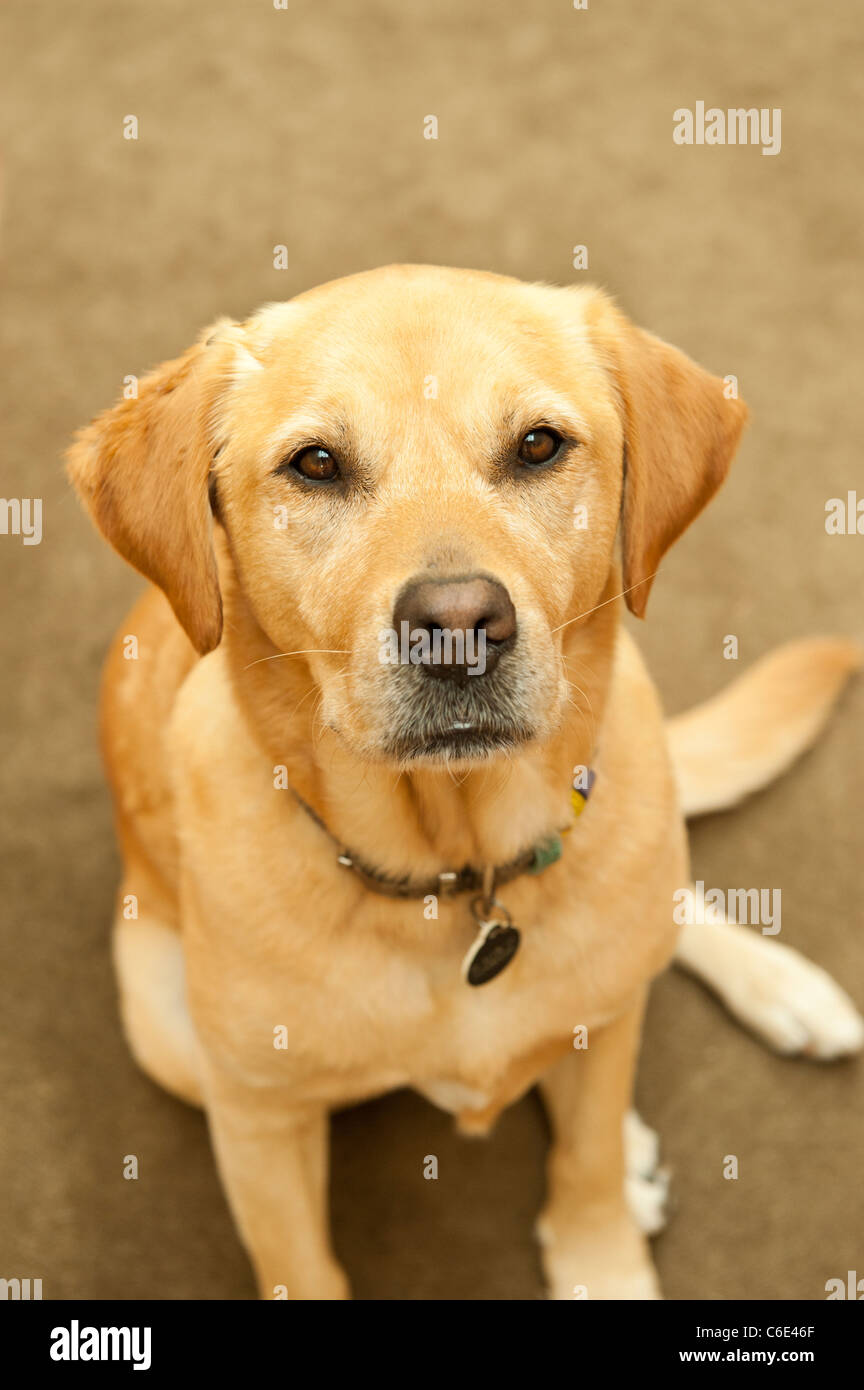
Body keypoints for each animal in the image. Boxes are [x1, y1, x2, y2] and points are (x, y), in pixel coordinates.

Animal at [69, 265, 864, 1295]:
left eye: (538, 445)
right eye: (315, 464)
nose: (457, 624)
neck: (456, 871)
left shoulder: (604, 1027)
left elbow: (587, 1163)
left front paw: (602, 1241)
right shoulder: (257, 1124)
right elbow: (301, 1267)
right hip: (167, 1033)